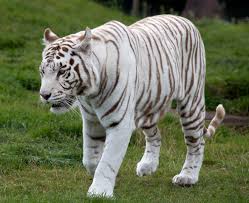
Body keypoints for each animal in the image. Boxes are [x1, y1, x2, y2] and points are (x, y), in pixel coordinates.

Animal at [39, 14, 226, 197]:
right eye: (42, 71)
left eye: (61, 71)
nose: (44, 95)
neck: (90, 92)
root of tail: (186, 20)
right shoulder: (91, 121)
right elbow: (90, 158)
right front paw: (100, 176)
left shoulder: (119, 123)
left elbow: (108, 159)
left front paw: (99, 191)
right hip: (147, 106)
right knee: (156, 136)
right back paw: (148, 166)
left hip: (191, 102)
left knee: (196, 142)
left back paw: (188, 177)